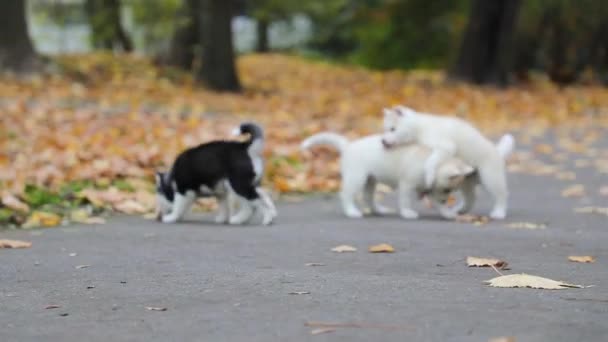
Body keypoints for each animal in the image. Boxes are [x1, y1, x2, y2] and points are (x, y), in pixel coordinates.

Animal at [302, 132, 478, 220]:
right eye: (448, 190)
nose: (444, 200)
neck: (431, 162)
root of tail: (348, 146)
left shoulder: (431, 191)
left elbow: (437, 204)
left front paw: (447, 213)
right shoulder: (407, 185)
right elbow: (405, 201)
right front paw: (408, 213)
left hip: (370, 181)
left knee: (368, 198)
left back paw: (378, 210)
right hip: (356, 179)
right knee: (346, 195)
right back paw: (352, 212)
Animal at [382, 105, 516, 220]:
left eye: (392, 129)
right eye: (385, 129)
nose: (383, 141)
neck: (419, 128)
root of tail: (497, 152)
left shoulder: (446, 147)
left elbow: (431, 162)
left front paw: (429, 177)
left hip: (490, 177)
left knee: (502, 195)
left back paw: (499, 213)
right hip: (466, 182)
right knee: (471, 198)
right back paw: (460, 210)